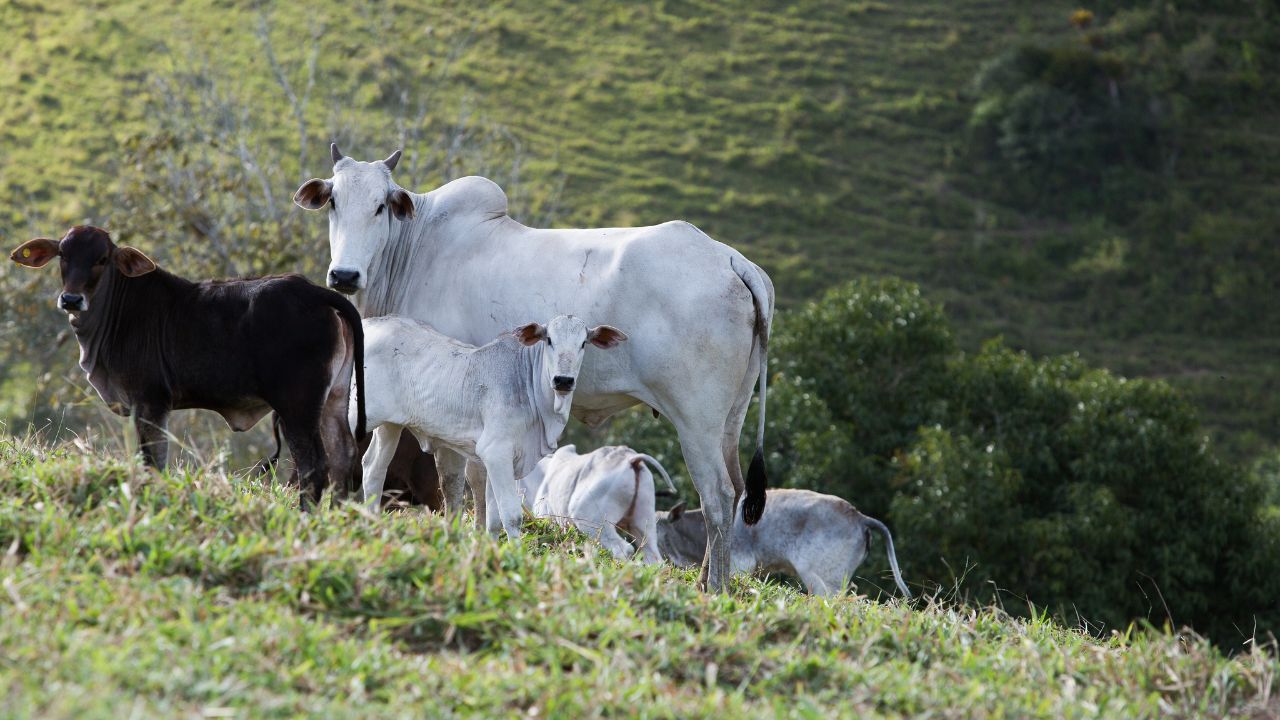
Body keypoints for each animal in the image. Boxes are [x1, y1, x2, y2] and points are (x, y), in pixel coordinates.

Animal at [11, 224, 366, 504]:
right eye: (63, 255)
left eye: (101, 259)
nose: (71, 299)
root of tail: (315, 293)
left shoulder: (150, 402)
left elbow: (153, 462)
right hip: (333, 400)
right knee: (343, 459)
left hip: (297, 406)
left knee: (313, 467)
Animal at [353, 311, 627, 535]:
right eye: (549, 340)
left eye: (583, 343)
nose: (563, 381)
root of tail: (369, 323)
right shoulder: (496, 452)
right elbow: (512, 517)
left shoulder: (503, 461)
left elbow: (494, 519)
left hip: (389, 426)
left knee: (373, 468)